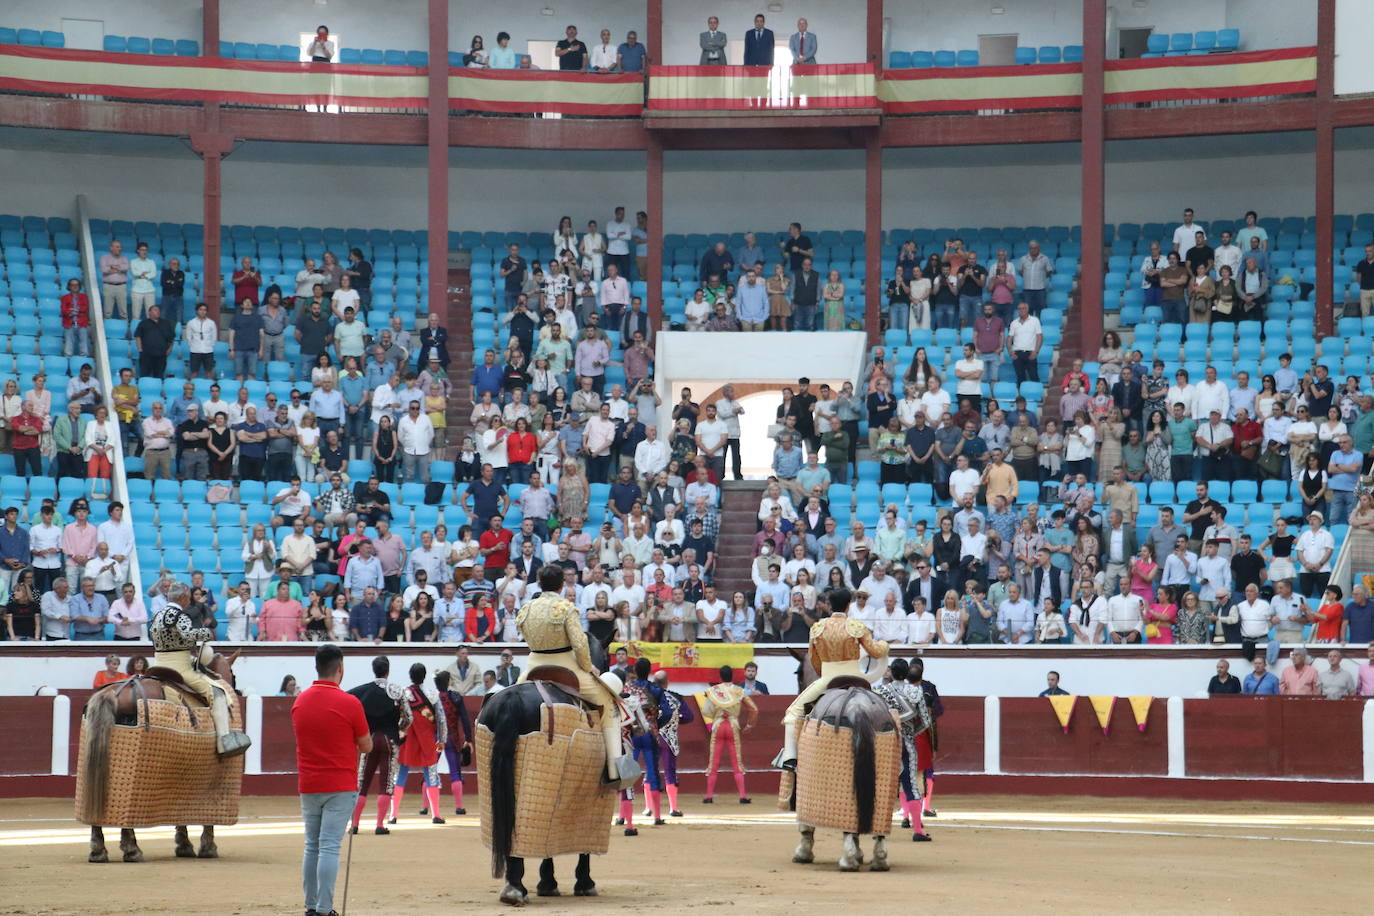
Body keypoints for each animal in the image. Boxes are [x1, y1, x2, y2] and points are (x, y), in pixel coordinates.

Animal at [82, 648, 241, 862]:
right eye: (234, 675)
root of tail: (111, 693)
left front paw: (184, 845)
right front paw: (207, 847)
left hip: (98, 756)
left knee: (96, 798)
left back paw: (98, 851)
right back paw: (132, 850)